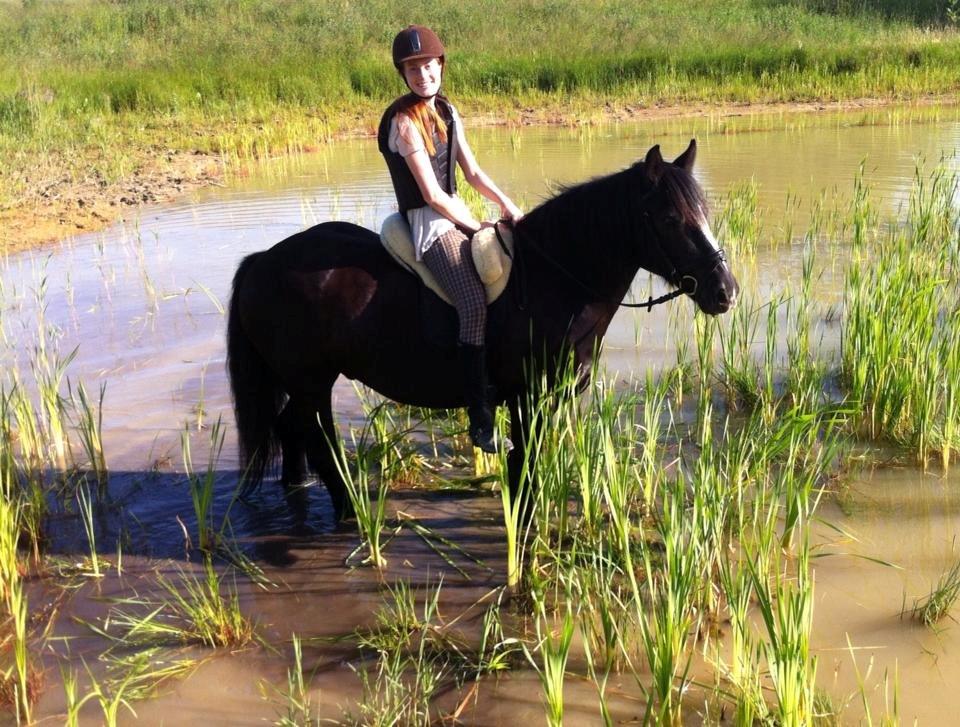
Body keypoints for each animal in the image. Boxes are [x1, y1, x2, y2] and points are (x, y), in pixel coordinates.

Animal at [229, 141, 740, 516]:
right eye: (671, 219)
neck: (552, 278)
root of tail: (265, 260)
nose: (726, 291)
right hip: (312, 382)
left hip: (302, 383)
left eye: (705, 213)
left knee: (290, 430)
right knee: (315, 437)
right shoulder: (527, 397)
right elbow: (523, 468)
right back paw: (349, 513)